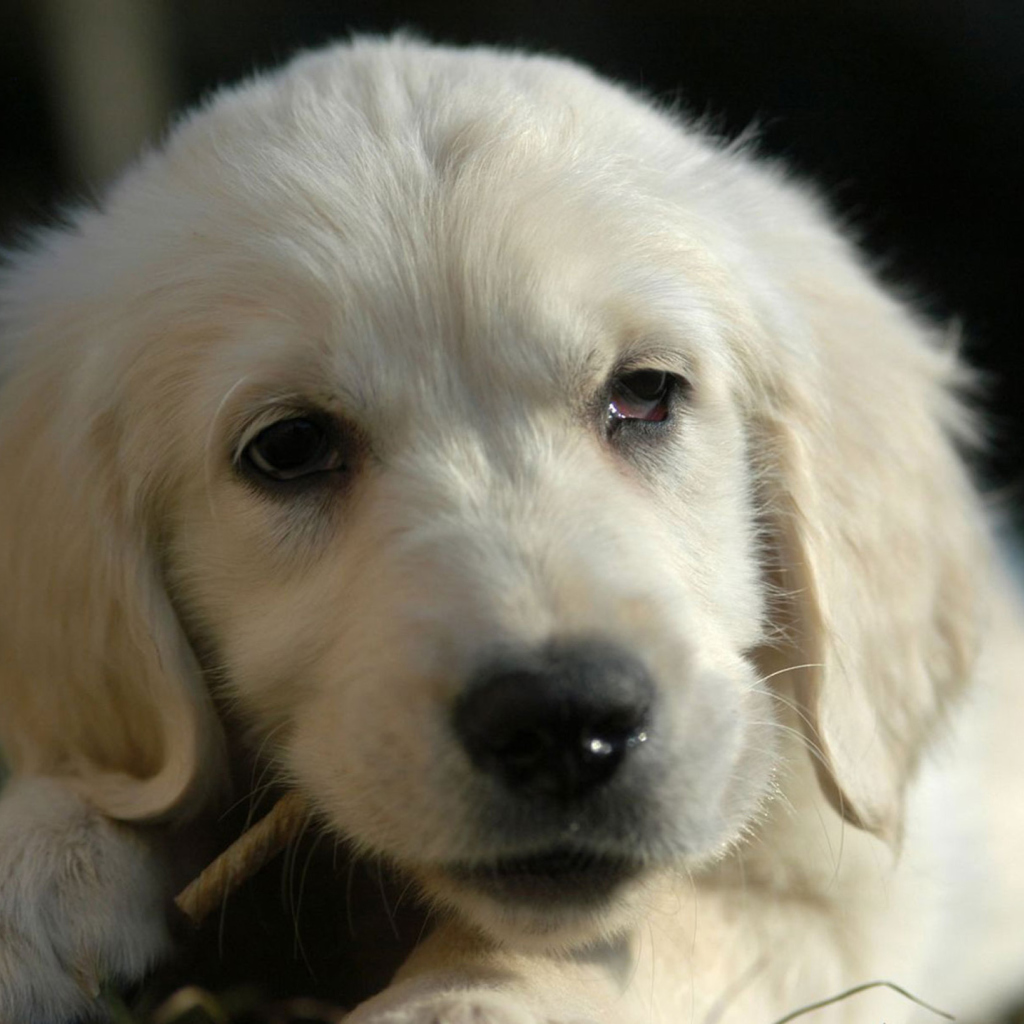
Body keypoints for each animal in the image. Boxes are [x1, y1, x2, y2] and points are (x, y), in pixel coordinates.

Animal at [2, 32, 1024, 1024]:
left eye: (645, 392)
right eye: (289, 447)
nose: (563, 722)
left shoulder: (841, 896)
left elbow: (673, 922)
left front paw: (467, 998)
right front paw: (42, 868)